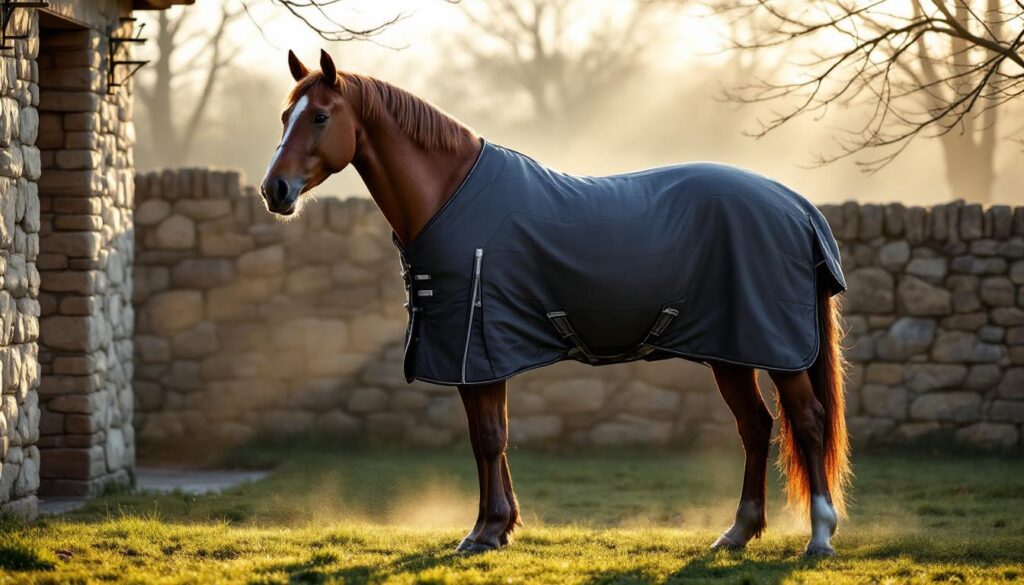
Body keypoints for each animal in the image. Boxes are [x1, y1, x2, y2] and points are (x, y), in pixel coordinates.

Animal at [261, 49, 852, 557]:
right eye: (285, 115)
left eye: (319, 117)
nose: (275, 191)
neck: (449, 196)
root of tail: (798, 208)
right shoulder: (482, 359)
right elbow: (492, 437)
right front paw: (499, 527)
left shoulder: (476, 351)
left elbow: (487, 438)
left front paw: (484, 531)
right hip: (731, 352)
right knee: (755, 427)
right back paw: (737, 532)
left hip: (776, 351)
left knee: (808, 421)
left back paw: (820, 536)